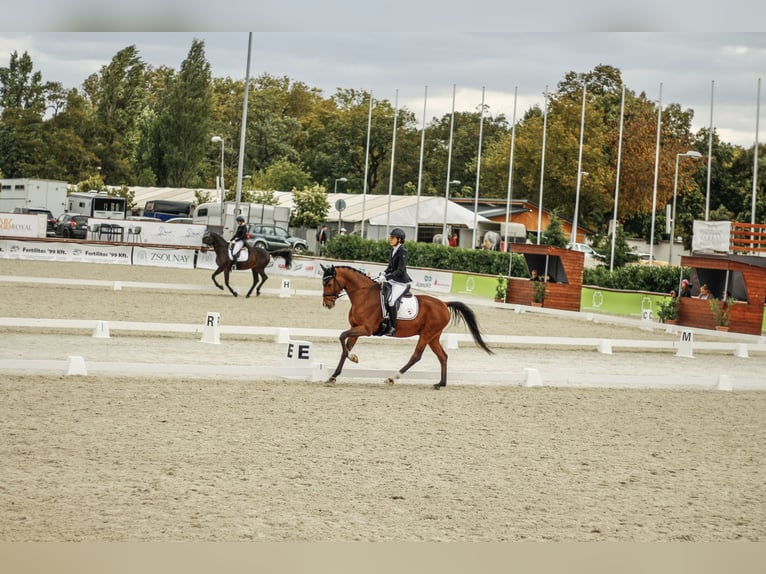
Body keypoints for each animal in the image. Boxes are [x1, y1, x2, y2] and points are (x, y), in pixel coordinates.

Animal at [320, 266, 496, 392]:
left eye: (329, 283)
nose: (327, 304)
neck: (363, 296)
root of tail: (444, 304)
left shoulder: (366, 329)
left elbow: (342, 337)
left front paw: (354, 358)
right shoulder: (355, 328)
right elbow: (345, 347)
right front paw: (333, 376)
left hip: (427, 334)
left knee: (416, 356)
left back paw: (393, 378)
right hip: (433, 336)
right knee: (443, 356)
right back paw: (440, 383)